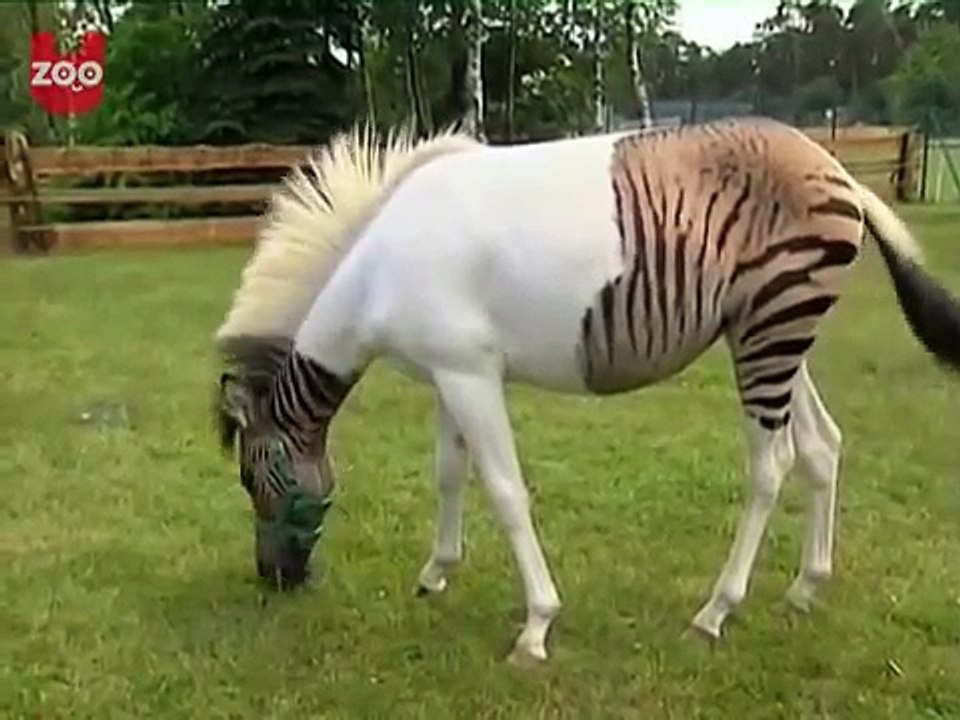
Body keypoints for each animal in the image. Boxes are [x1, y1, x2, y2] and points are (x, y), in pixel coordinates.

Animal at [214, 117, 960, 665]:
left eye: (251, 480)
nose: (273, 582)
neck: (376, 273)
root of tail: (836, 167)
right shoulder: (450, 372)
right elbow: (451, 473)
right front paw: (436, 573)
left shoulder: (471, 374)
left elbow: (506, 492)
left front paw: (536, 627)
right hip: (770, 332)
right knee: (822, 447)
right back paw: (806, 588)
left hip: (770, 334)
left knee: (771, 467)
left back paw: (715, 612)